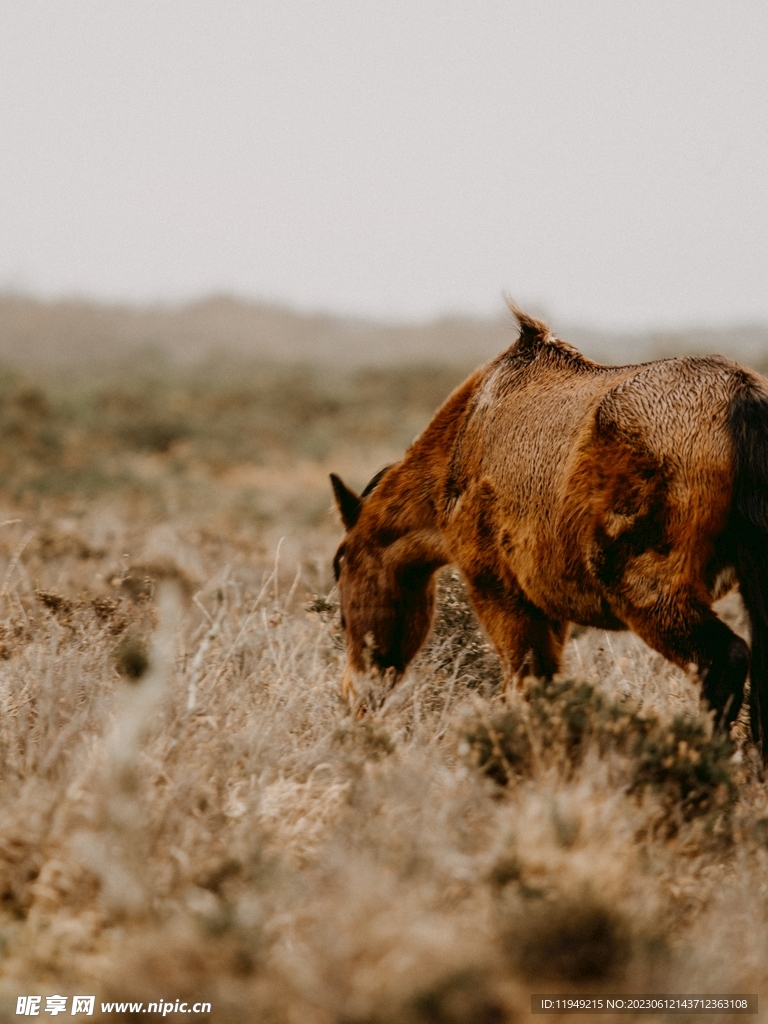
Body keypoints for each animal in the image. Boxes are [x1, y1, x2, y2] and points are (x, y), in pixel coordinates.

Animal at [330, 304, 768, 756]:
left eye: (339, 566)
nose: (354, 695)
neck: (464, 438)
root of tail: (740, 395)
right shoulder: (546, 610)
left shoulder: (503, 597)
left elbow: (527, 686)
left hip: (650, 594)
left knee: (725, 660)